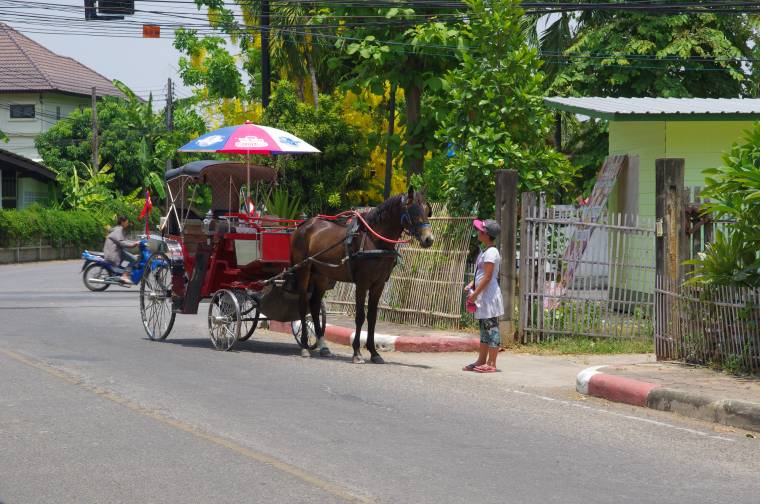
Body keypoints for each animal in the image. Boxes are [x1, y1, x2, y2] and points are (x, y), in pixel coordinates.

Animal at [290, 187, 434, 364]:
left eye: (427, 211)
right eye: (414, 211)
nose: (429, 239)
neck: (375, 240)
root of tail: (303, 225)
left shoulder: (379, 284)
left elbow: (372, 317)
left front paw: (374, 352)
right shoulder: (362, 283)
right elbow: (360, 316)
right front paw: (357, 352)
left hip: (322, 276)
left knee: (315, 305)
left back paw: (323, 346)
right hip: (303, 271)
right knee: (303, 304)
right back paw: (304, 345)